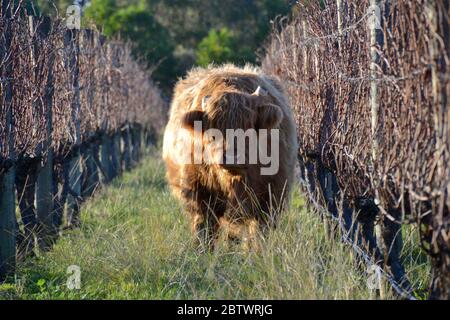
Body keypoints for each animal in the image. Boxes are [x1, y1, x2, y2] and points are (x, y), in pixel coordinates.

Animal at [163, 64, 298, 250]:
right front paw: (202, 252)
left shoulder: (271, 195)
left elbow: (259, 231)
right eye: (213, 132)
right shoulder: (198, 192)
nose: (232, 157)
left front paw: (258, 252)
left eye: (248, 129)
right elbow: (203, 227)